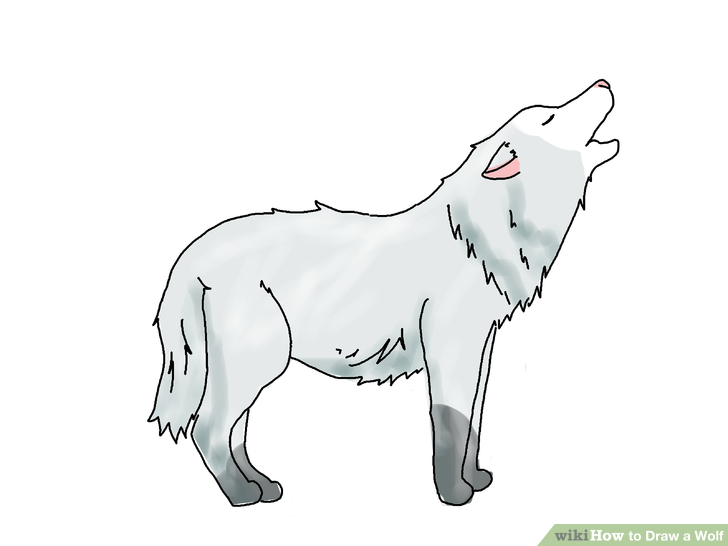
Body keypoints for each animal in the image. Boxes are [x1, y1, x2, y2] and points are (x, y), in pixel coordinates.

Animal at [149, 80, 619, 506]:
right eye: (550, 118)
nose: (604, 82)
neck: (480, 236)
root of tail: (192, 254)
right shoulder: (450, 349)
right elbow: (451, 423)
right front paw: (454, 495)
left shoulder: (481, 349)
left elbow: (474, 421)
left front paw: (475, 479)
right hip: (260, 362)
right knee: (209, 428)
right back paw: (242, 495)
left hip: (248, 367)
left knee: (235, 432)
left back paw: (264, 487)